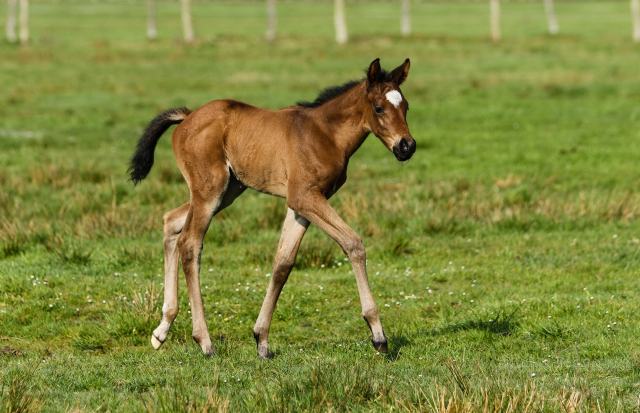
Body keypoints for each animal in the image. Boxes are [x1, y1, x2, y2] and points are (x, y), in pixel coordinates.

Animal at [130, 58, 418, 358]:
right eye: (379, 107)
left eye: (406, 107)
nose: (407, 146)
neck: (326, 133)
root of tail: (187, 117)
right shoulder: (304, 197)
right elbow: (353, 243)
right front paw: (378, 336)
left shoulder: (301, 206)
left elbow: (283, 263)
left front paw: (262, 340)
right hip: (210, 191)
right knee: (189, 243)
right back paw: (204, 342)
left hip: (228, 191)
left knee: (171, 221)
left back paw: (161, 330)